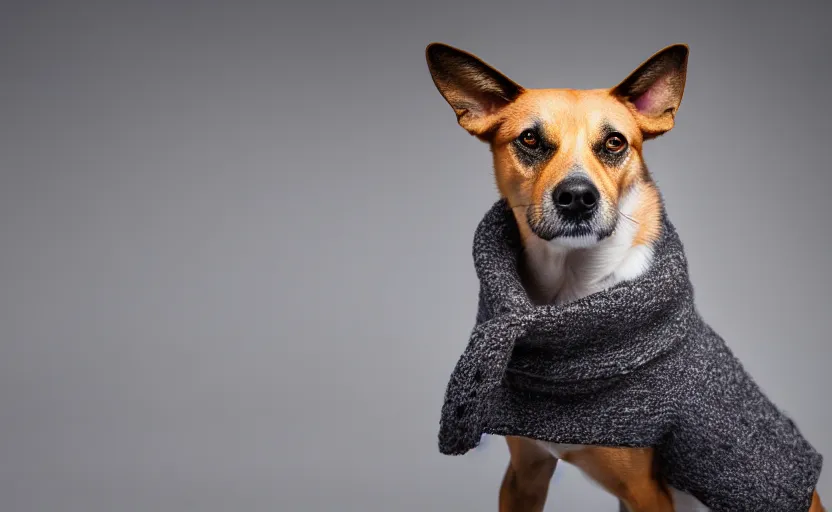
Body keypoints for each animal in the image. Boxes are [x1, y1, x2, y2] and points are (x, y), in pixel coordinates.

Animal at [426, 43, 828, 512]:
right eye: (530, 139)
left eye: (615, 142)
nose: (577, 197)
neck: (571, 292)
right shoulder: (526, 473)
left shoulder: (645, 493)